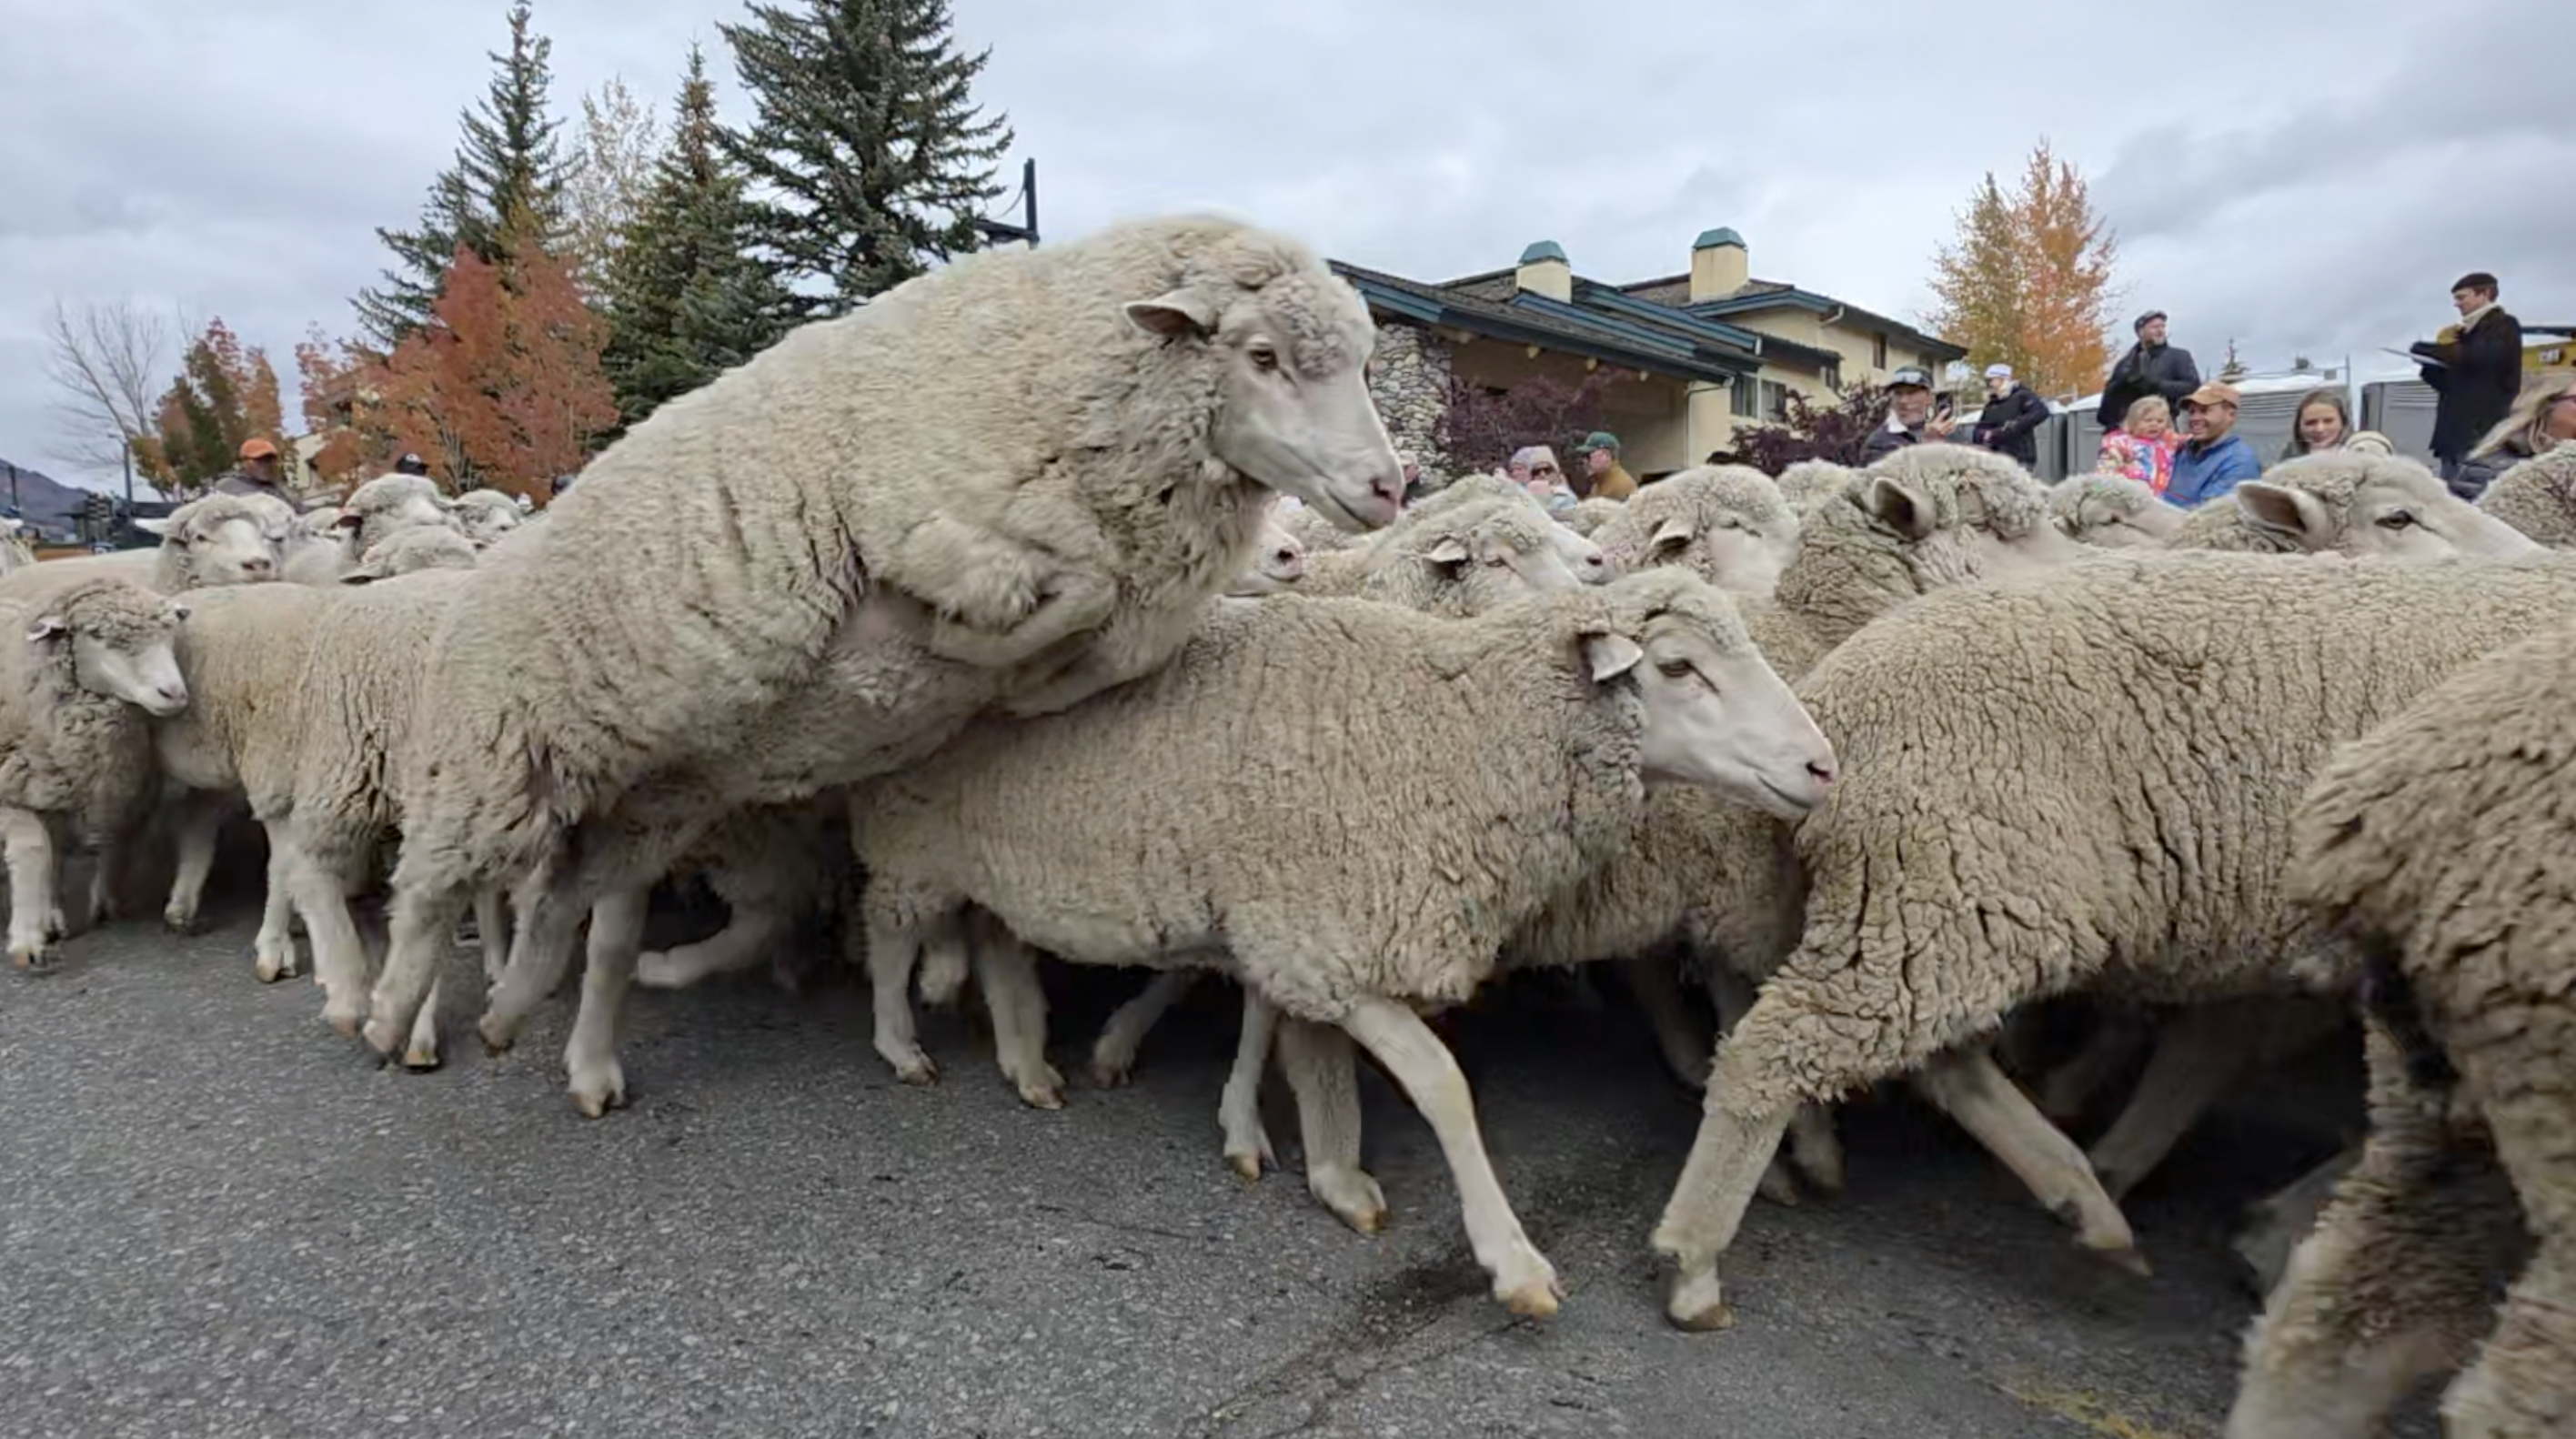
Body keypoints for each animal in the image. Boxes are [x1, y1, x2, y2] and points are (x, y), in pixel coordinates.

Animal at [0, 577, 191, 970]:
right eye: (96, 633)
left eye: (169, 631)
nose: (174, 693)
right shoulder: (13, 784)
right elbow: (33, 850)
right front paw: (28, 940)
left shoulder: (72, 784)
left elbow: (85, 847)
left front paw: (69, 913)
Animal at [380, 213, 1410, 1106]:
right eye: (1263, 356)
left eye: (1363, 363)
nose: (1389, 487)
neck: (1054, 365)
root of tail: (483, 571)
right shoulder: (936, 533)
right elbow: (1065, 588)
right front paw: (955, 640)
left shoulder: (1115, 610)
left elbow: (1082, 630)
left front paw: (1022, 682)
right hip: (491, 763)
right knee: (429, 892)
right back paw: (392, 1016)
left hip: (646, 801)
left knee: (562, 903)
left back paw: (517, 1019)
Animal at [852, 568, 1838, 1316]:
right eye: (1676, 665)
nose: (1823, 765)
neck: (1451, 735)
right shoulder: (1334, 942)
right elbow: (1442, 1086)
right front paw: (1511, 1261)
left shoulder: (1289, 922)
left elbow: (1259, 1018)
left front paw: (1242, 1127)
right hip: (914, 838)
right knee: (889, 935)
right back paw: (900, 1045)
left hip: (989, 855)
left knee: (995, 941)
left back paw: (1026, 1061)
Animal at [1647, 547, 2576, 1333]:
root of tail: (1837, 699)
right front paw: (2274, 1234)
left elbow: (2213, 1059)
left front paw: (2256, 1222)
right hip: (1956, 881)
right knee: (1775, 1050)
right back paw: (1695, 1259)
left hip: (1944, 903)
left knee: (1935, 1056)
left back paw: (2081, 1196)